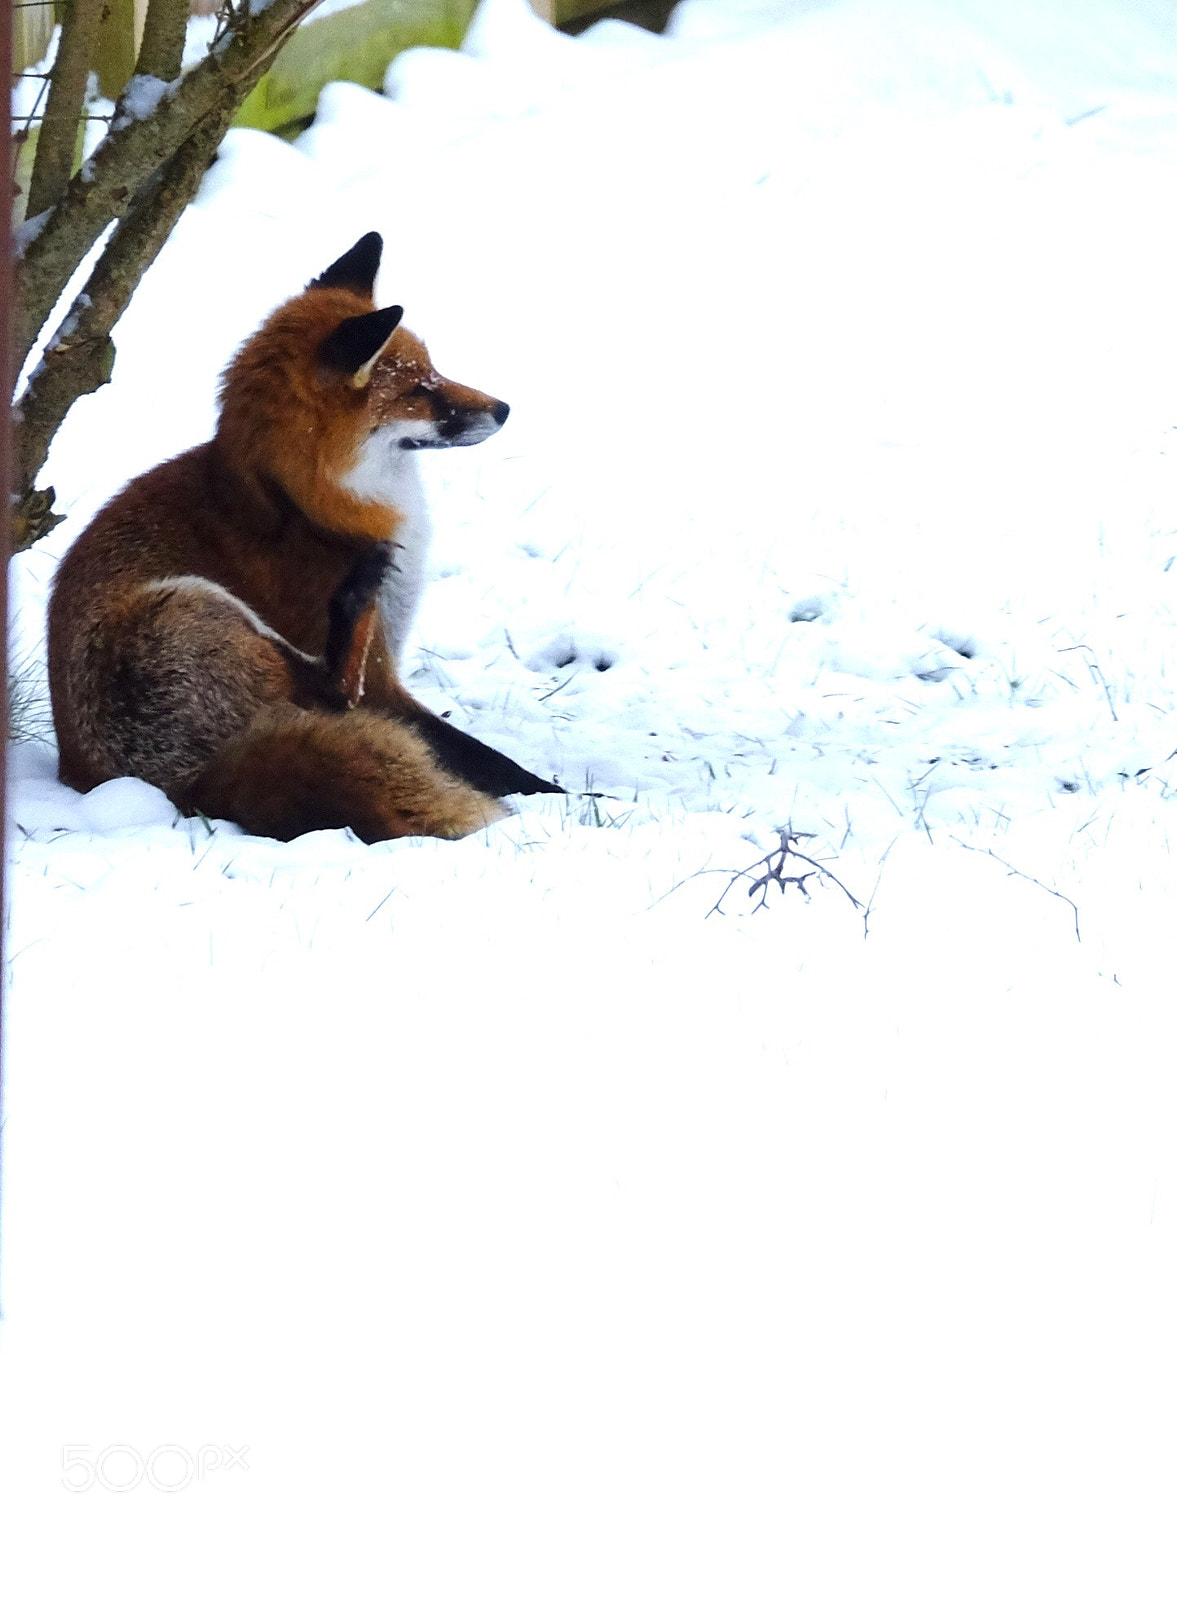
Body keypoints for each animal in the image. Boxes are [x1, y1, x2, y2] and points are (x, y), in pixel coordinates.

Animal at [48, 231, 562, 843]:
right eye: (419, 389)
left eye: (436, 370)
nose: (503, 409)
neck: (311, 505)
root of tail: (191, 784)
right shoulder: (383, 676)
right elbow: (480, 758)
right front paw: (570, 796)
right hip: (193, 601)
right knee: (335, 694)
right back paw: (353, 601)